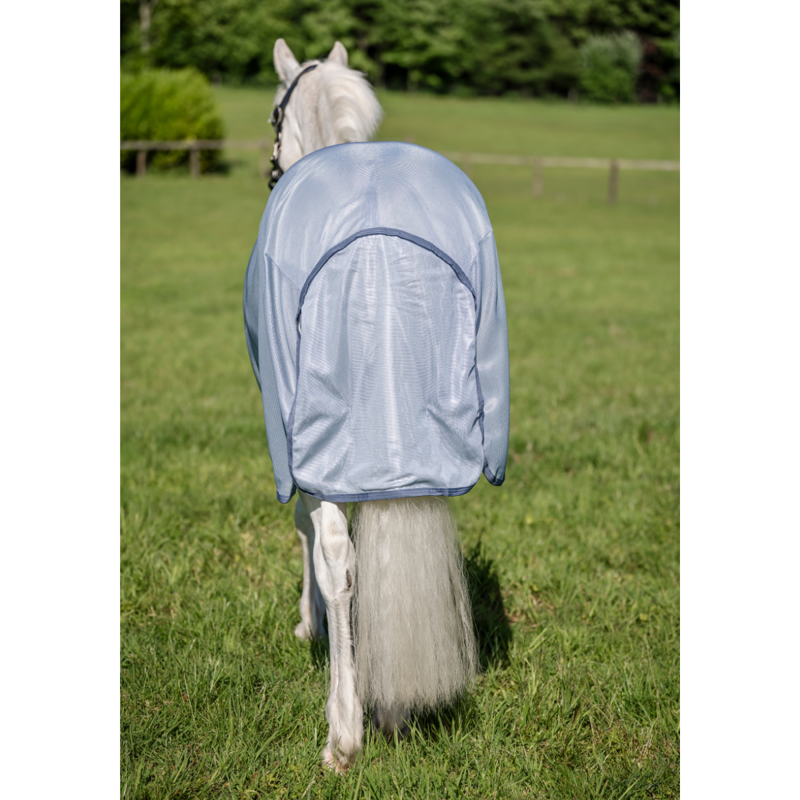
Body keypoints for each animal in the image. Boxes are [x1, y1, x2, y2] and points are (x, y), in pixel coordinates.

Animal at [244, 39, 510, 772]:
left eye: (274, 117)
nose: (270, 167)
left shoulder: (295, 447)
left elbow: (311, 537)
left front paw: (309, 626)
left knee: (338, 555)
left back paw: (345, 731)